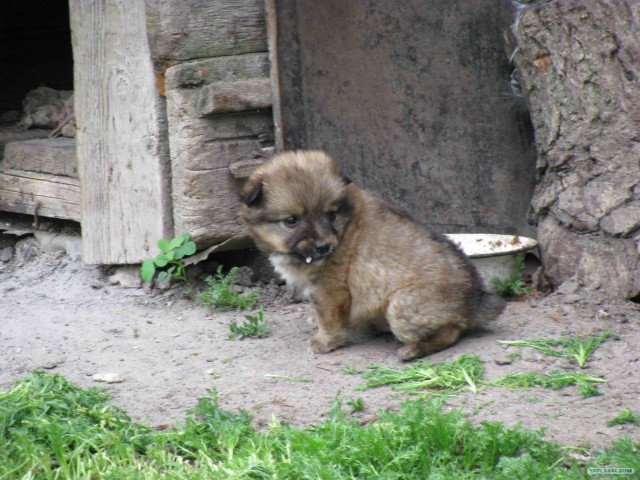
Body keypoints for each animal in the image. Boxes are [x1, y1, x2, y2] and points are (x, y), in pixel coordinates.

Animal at [240, 150, 504, 360]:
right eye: (292, 220)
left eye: (330, 214)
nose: (324, 247)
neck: (344, 225)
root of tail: (475, 301)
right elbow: (319, 312)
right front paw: (315, 322)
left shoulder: (331, 289)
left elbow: (330, 318)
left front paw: (324, 342)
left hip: (401, 306)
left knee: (453, 330)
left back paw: (412, 351)